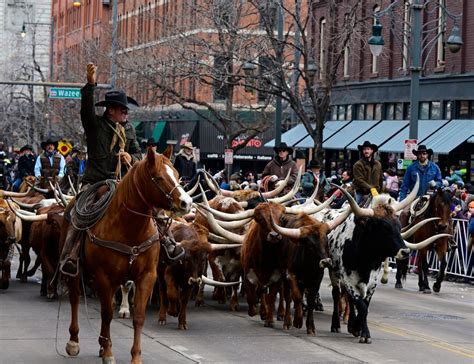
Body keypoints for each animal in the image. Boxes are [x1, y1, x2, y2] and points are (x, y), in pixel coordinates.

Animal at [64, 148, 192, 364]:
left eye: (176, 174)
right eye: (158, 177)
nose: (186, 203)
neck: (129, 227)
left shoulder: (147, 276)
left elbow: (138, 316)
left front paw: (134, 357)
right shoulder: (104, 277)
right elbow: (106, 314)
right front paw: (108, 353)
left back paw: (101, 344)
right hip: (76, 271)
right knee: (74, 298)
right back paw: (74, 341)